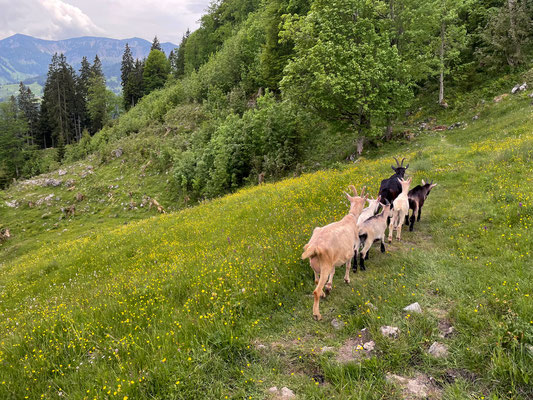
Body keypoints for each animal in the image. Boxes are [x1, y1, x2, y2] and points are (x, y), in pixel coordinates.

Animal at [302, 186, 368, 320]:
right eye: (364, 202)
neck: (351, 219)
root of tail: (314, 246)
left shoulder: (334, 258)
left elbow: (333, 272)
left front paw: (329, 286)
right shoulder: (352, 249)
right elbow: (348, 265)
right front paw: (347, 280)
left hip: (314, 264)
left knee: (316, 280)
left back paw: (323, 293)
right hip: (324, 264)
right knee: (316, 290)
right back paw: (317, 314)